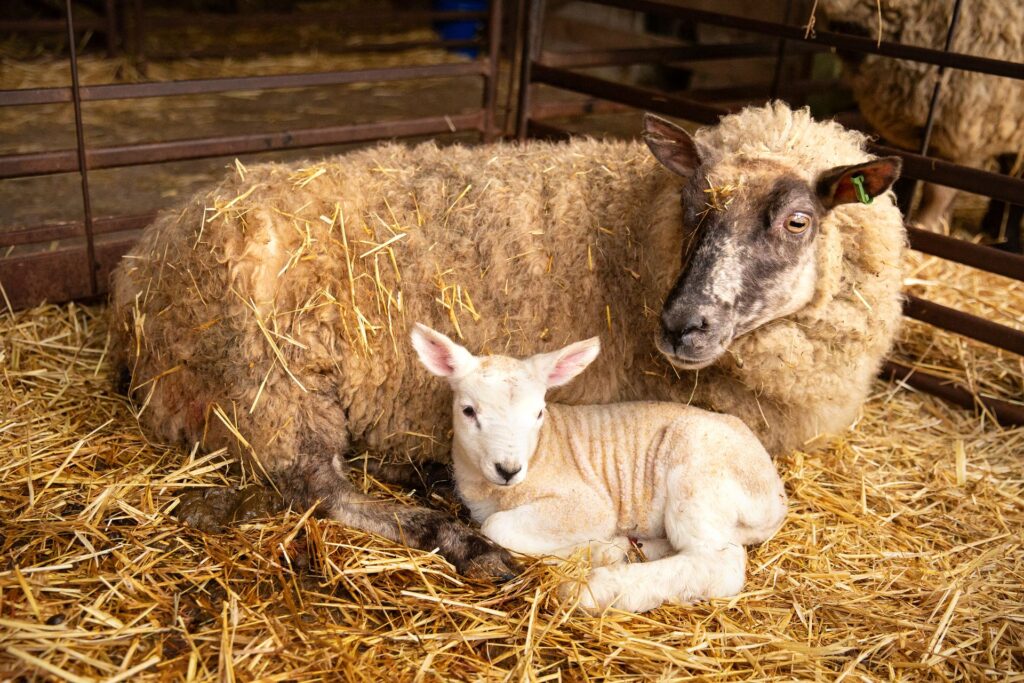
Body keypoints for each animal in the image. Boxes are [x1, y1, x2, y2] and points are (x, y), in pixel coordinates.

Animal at [109, 102, 904, 577]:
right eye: (691, 207)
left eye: (797, 221)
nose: (680, 324)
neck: (636, 227)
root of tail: (138, 271)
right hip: (272, 381)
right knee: (317, 488)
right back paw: (449, 533)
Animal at [410, 322, 788, 613]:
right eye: (468, 411)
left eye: (538, 413)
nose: (508, 468)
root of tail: (775, 498)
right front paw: (605, 549)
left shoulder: (588, 505)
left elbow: (495, 527)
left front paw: (596, 551)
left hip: (699, 478)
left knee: (717, 564)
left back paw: (597, 588)